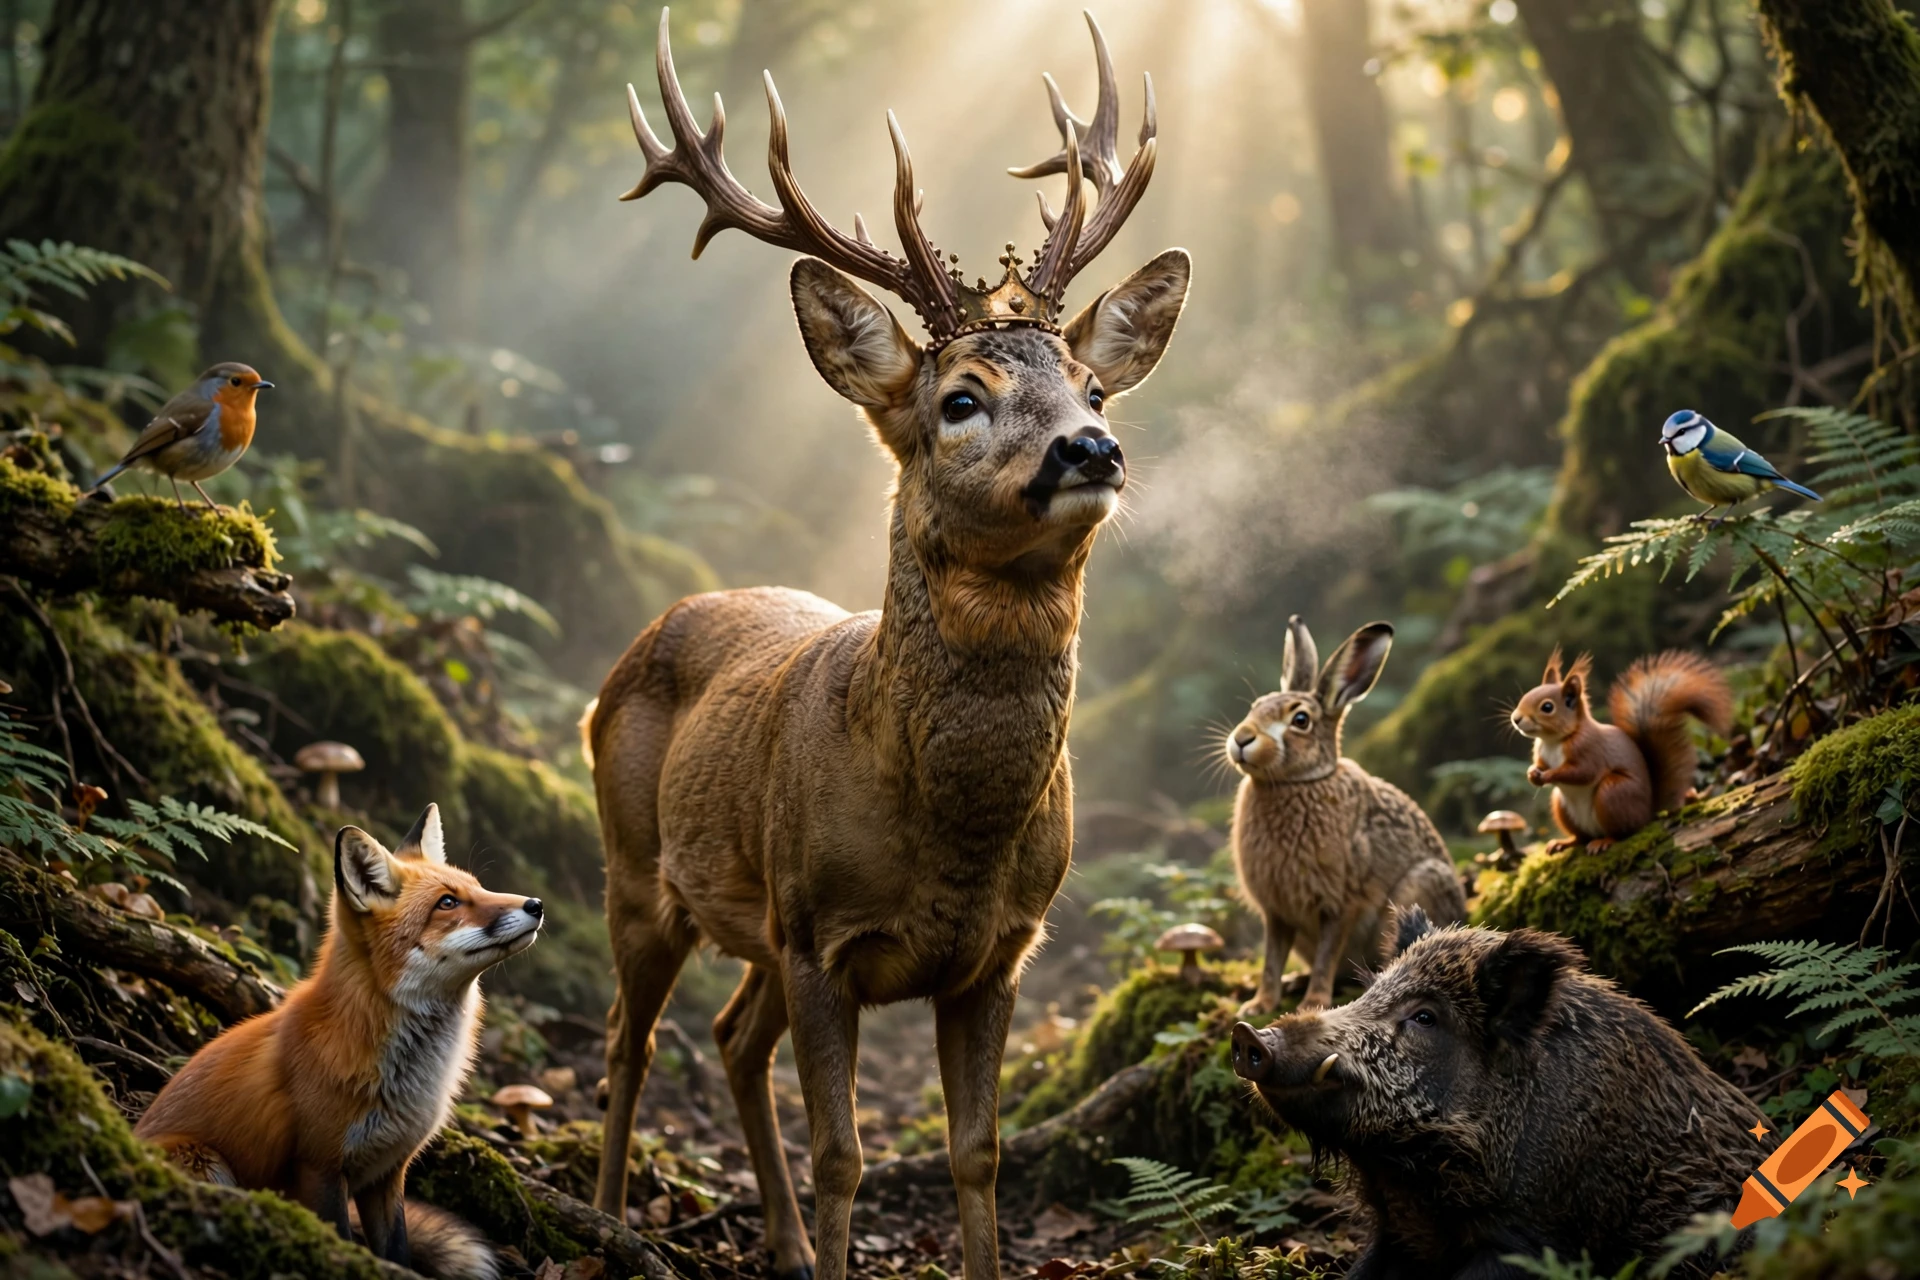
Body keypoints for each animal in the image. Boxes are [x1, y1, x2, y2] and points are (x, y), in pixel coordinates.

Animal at [135, 804, 542, 1280]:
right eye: (447, 903)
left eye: (479, 887)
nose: (536, 904)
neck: (402, 1076)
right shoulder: (320, 1167)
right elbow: (343, 1239)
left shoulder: (388, 1173)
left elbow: (396, 1249)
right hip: (203, 1161)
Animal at [582, 12, 1187, 1280]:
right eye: (960, 398)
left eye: (1096, 383)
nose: (1091, 447)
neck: (948, 829)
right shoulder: (823, 936)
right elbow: (845, 1154)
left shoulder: (1000, 951)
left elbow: (977, 1153)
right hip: (634, 862)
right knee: (629, 1039)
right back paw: (607, 1223)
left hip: (754, 925)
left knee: (730, 1035)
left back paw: (778, 1243)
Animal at [1225, 617, 1467, 1016]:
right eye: (1256, 706)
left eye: (1301, 720)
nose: (1242, 738)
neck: (1294, 783)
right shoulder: (1277, 911)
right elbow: (1272, 959)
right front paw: (1259, 1005)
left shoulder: (1340, 901)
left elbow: (1327, 954)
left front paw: (1312, 1004)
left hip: (1417, 889)